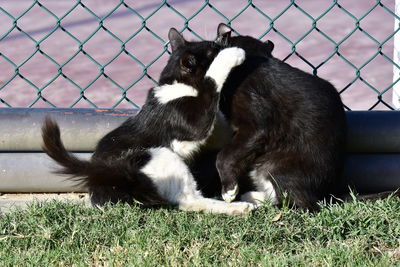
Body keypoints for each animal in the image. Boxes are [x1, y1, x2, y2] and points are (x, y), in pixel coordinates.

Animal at [42, 27, 255, 216]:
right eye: (212, 50)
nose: (223, 41)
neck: (176, 85)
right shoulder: (195, 122)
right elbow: (210, 81)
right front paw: (232, 55)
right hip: (159, 154)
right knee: (189, 201)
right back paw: (238, 207)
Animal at [214, 23, 348, 211]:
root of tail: (327, 194)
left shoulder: (257, 126)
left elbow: (224, 155)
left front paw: (229, 191)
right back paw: (251, 197)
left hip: (275, 167)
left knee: (299, 203)